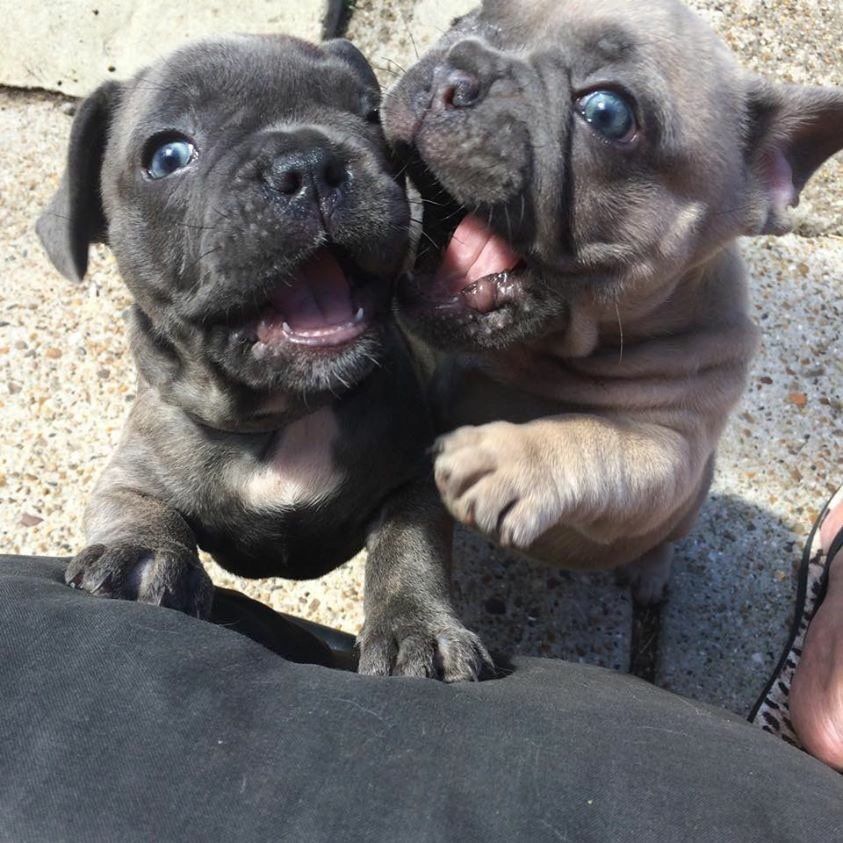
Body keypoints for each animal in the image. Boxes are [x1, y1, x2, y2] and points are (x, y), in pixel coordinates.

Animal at [38, 33, 488, 684]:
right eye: (168, 156)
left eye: (369, 115)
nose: (308, 162)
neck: (282, 412)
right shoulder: (132, 469)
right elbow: (133, 506)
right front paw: (139, 554)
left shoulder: (412, 483)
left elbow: (409, 550)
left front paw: (415, 628)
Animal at [384, 1, 843, 608]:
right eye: (462, 20)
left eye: (607, 113)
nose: (449, 76)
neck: (535, 353)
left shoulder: (673, 451)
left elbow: (603, 444)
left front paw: (510, 458)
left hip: (686, 506)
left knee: (662, 539)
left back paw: (650, 574)